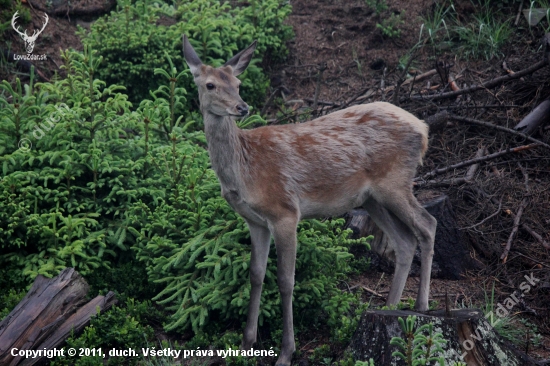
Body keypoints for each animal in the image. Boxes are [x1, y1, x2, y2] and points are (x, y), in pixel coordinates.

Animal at [183, 35, 438, 366]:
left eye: (238, 83)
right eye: (211, 85)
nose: (242, 107)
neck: (244, 170)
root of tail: (423, 128)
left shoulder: (285, 212)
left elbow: (286, 280)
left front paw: (286, 352)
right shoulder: (255, 221)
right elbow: (255, 274)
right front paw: (246, 343)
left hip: (394, 182)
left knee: (428, 223)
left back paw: (421, 305)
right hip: (372, 198)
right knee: (404, 240)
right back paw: (389, 309)